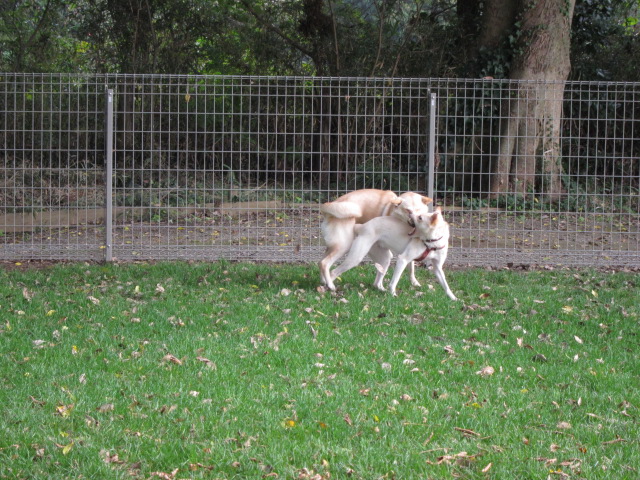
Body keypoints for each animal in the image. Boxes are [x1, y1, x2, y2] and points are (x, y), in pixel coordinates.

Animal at [328, 207, 458, 300]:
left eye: (420, 217)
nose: (410, 212)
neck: (431, 243)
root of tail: (362, 226)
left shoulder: (437, 268)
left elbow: (446, 285)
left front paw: (453, 298)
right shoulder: (403, 259)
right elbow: (394, 281)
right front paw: (393, 294)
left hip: (385, 260)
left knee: (377, 283)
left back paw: (381, 290)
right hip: (356, 258)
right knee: (333, 272)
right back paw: (330, 286)